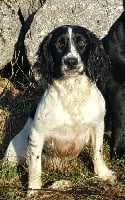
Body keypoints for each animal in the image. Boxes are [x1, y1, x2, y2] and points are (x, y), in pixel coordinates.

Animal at [4, 25, 115, 195]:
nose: (71, 62)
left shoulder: (98, 125)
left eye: (82, 42)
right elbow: (35, 167)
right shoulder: (37, 134)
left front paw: (103, 174)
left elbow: (98, 151)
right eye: (59, 44)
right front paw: (34, 191)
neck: (73, 92)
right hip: (12, 154)